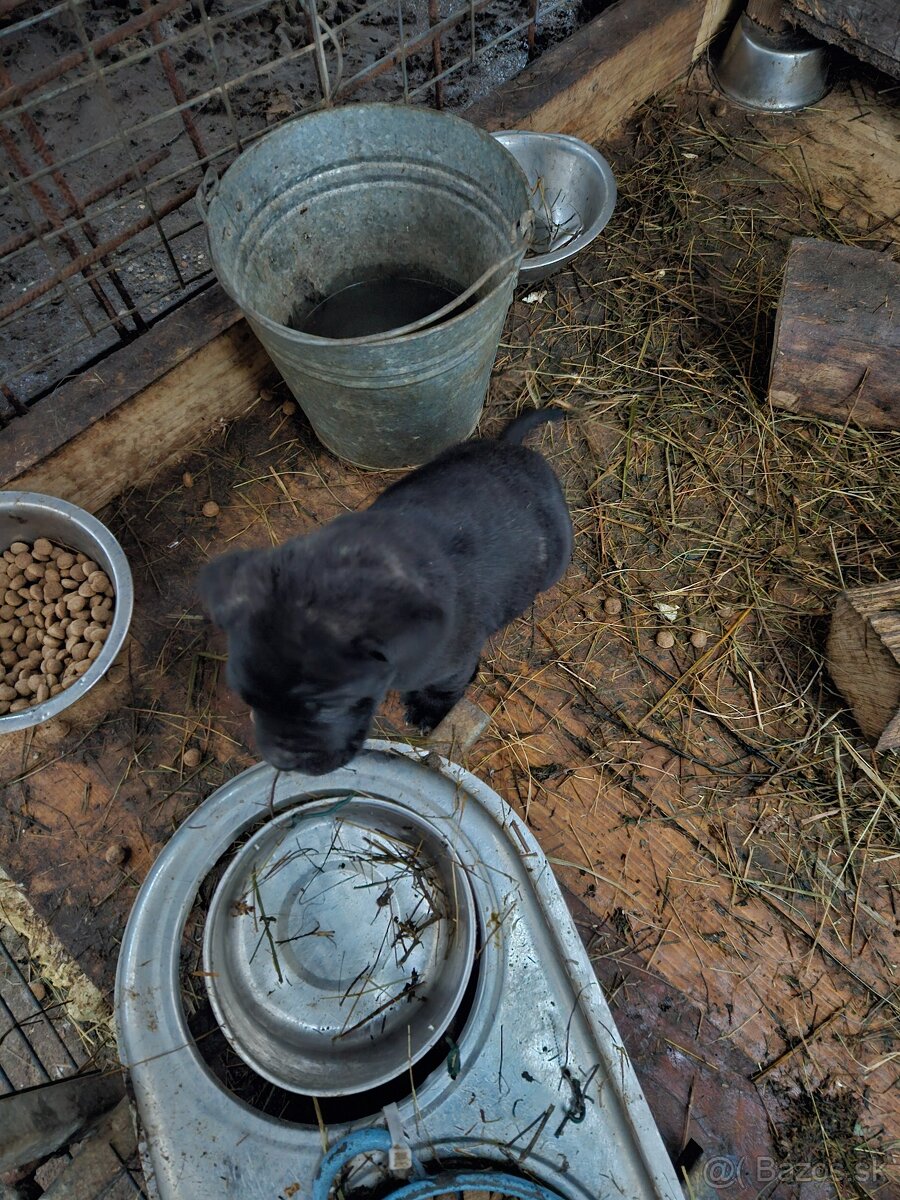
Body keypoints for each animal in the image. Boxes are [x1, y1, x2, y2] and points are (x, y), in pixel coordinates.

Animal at [200, 408, 573, 772]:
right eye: (248, 699)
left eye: (327, 706)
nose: (281, 762)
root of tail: (516, 451)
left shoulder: (453, 663)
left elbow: (444, 687)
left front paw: (427, 710)